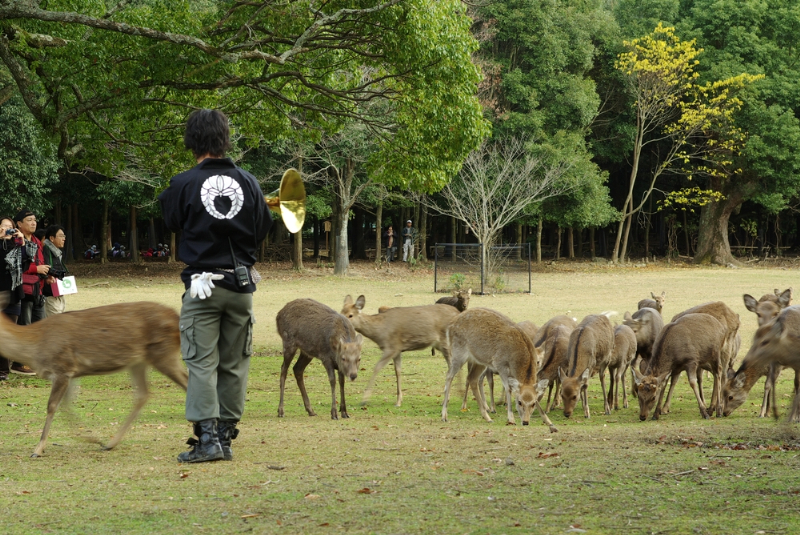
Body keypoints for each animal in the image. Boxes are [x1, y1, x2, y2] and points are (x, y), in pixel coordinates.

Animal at [0, 296, 188, 458]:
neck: (33, 346)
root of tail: (176, 317)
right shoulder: (72, 374)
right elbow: (66, 406)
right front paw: (95, 440)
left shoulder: (62, 368)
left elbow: (52, 406)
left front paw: (37, 449)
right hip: (139, 362)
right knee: (143, 394)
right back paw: (111, 443)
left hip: (164, 353)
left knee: (186, 382)